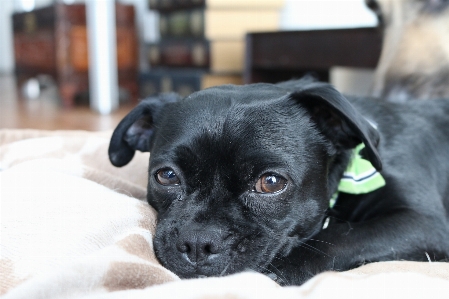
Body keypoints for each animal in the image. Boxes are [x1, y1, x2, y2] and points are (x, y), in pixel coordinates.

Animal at [107, 77, 448, 286]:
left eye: (270, 182)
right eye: (166, 176)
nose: (198, 243)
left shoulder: (424, 224)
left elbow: (342, 235)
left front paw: (282, 270)